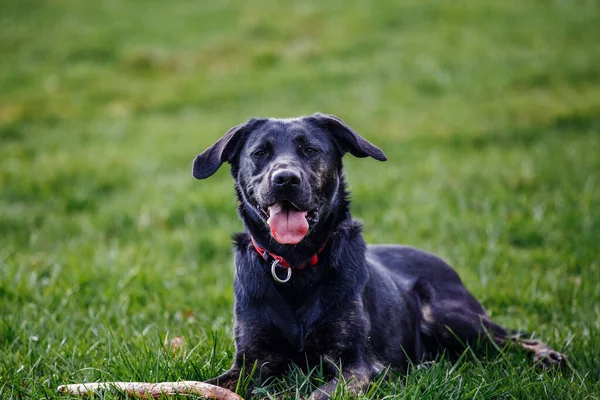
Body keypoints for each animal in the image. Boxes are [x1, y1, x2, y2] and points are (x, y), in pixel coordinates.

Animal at [193, 114, 568, 398]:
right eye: (260, 152)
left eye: (310, 150)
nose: (285, 179)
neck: (295, 266)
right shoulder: (251, 361)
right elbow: (208, 384)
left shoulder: (357, 364)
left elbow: (321, 393)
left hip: (449, 315)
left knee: (512, 339)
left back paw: (549, 357)